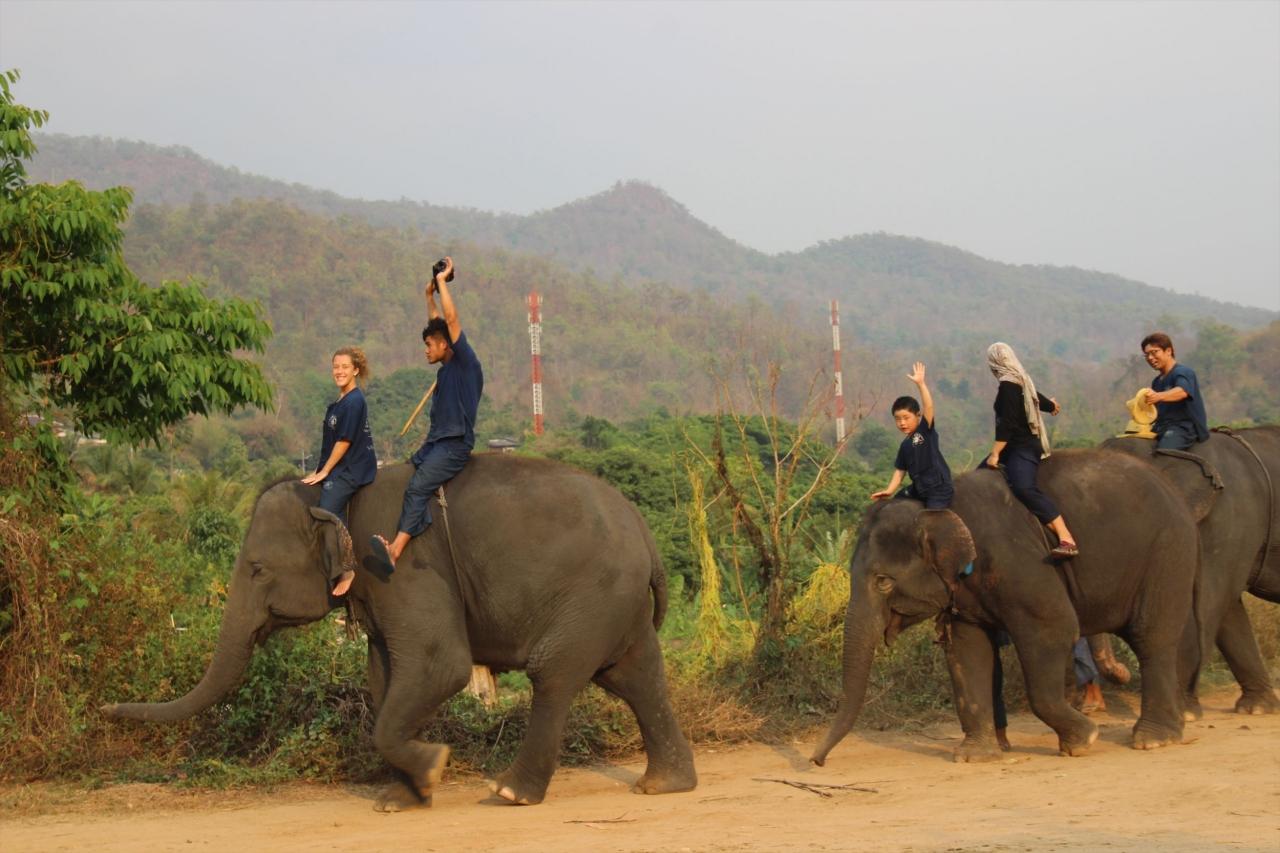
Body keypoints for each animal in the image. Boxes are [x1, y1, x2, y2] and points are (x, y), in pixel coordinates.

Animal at [104, 454, 698, 810]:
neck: (340, 495)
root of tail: (644, 531)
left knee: (554, 675)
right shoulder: (378, 584)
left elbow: (442, 666)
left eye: (255, 568)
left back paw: (509, 791)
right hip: (613, 605)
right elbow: (383, 677)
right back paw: (665, 785)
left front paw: (433, 768)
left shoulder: (400, 563)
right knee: (635, 676)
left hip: (590, 596)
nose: (105, 711)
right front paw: (401, 798)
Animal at [811, 449, 1202, 766]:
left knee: (1152, 638)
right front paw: (974, 756)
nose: (817, 760)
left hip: (1168, 550)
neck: (937, 505)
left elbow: (1054, 629)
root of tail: (1170, 486)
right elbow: (967, 651)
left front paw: (1083, 740)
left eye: (883, 581)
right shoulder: (965, 592)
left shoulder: (1021, 561)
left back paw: (1153, 739)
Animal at [1101, 426, 1280, 716]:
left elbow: (1208, 600)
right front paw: (1256, 709)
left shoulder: (1231, 517)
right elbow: (1227, 607)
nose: (1122, 673)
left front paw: (1183, 710)